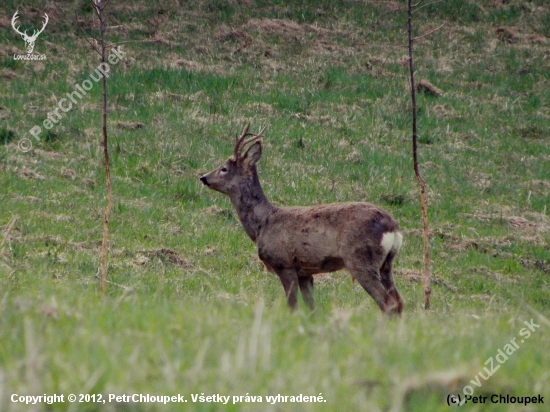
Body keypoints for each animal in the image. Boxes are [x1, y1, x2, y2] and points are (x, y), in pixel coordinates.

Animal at [199, 124, 406, 314]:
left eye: (224, 169)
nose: (203, 177)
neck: (263, 223)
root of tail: (392, 227)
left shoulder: (284, 264)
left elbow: (293, 306)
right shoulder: (306, 272)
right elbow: (311, 307)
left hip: (360, 258)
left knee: (387, 303)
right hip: (386, 264)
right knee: (398, 301)